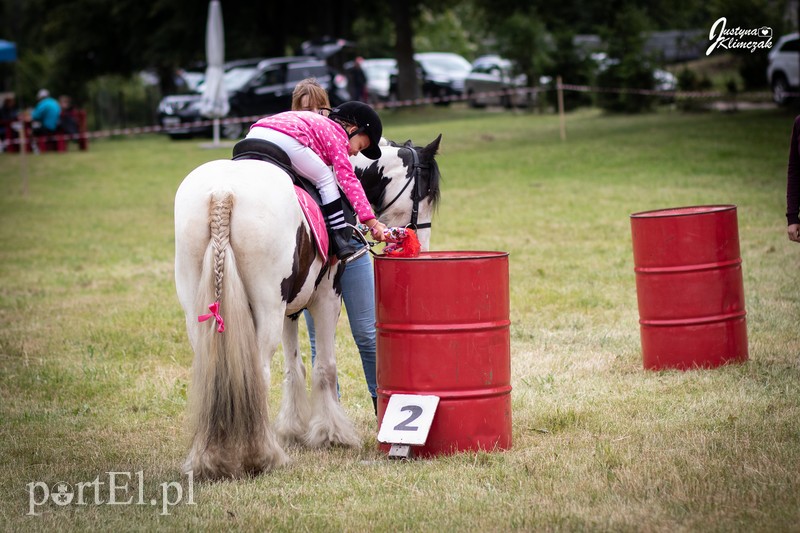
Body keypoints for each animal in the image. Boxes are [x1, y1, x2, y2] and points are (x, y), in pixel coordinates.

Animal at [173, 135, 444, 480]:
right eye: (424, 195)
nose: (422, 248)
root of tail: (223, 193)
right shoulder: (328, 295)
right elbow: (324, 366)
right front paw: (331, 433)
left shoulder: (290, 307)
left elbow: (294, 367)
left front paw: (292, 429)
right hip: (267, 309)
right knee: (258, 374)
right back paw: (261, 455)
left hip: (201, 313)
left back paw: (210, 457)